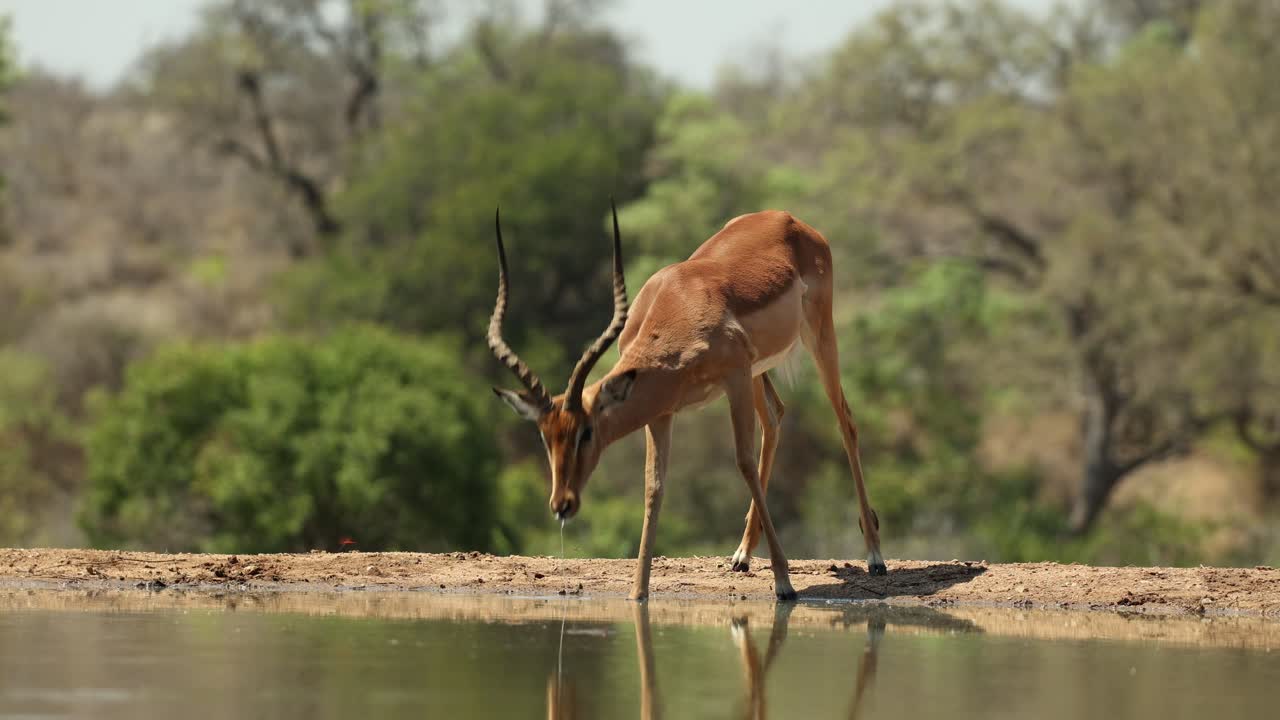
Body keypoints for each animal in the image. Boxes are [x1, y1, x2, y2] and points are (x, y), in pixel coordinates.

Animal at [488, 202, 886, 601]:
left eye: (585, 432)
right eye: (545, 436)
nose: (562, 504)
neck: (677, 306)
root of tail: (787, 218)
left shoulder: (734, 378)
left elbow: (742, 461)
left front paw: (785, 584)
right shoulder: (662, 412)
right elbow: (654, 488)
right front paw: (638, 593)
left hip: (816, 335)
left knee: (845, 421)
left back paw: (875, 557)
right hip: (759, 371)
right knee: (775, 418)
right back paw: (742, 555)